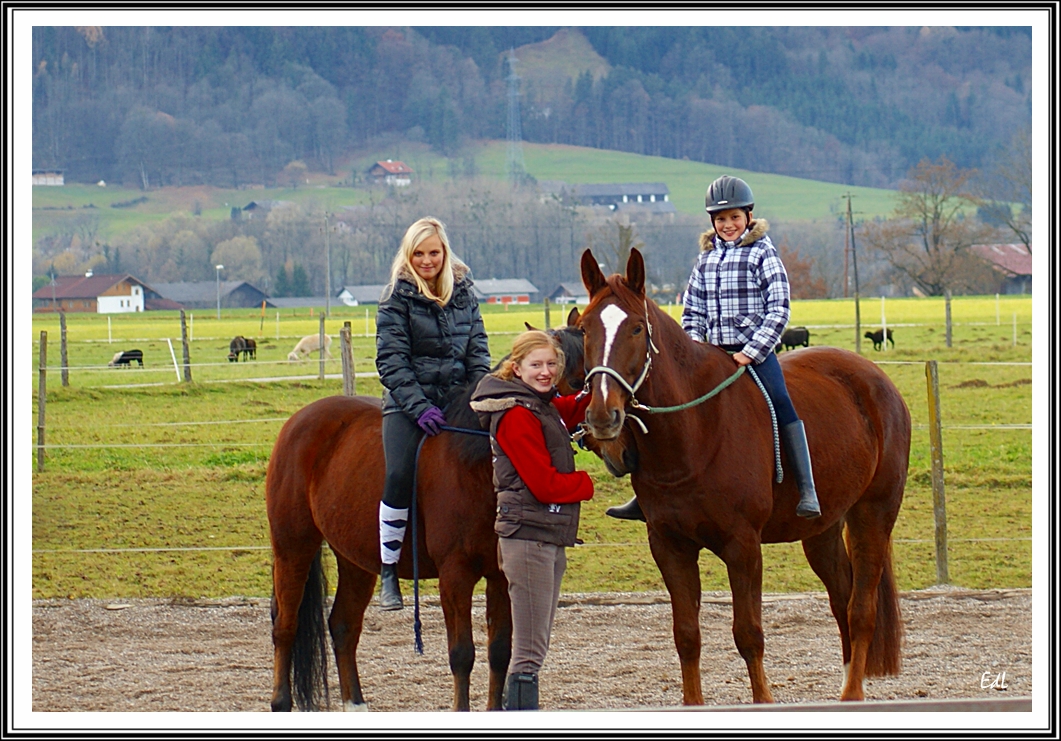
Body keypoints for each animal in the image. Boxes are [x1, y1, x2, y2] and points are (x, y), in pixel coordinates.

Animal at [263, 307, 581, 709]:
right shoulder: (455, 574)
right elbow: (462, 654)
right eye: (551, 365)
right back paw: (281, 701)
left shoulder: (502, 574)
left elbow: (500, 652)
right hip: (293, 546)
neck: (478, 464)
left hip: (355, 558)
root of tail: (298, 421)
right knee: (285, 626)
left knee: (343, 626)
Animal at [577, 249, 908, 704]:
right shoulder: (669, 546)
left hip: (873, 514)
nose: (602, 417)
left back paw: (852, 694)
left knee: (861, 609)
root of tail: (876, 379)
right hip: (823, 529)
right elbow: (687, 635)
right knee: (842, 598)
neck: (695, 434)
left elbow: (748, 634)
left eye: (637, 328)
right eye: (584, 329)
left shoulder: (743, 547)